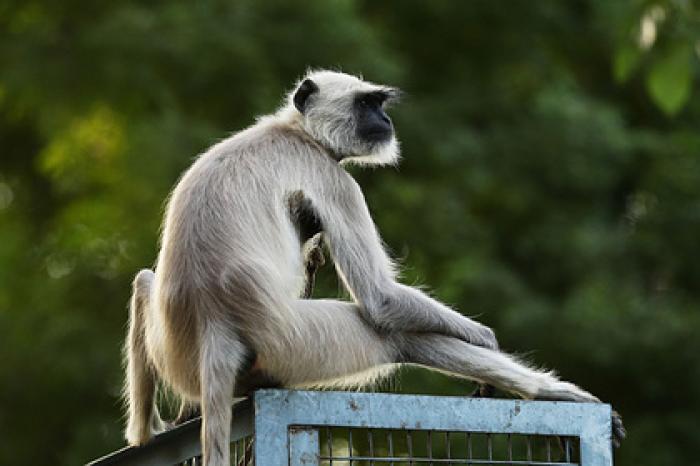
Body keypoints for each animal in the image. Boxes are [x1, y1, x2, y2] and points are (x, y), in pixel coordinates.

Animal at [123, 69, 628, 466]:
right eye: (367, 104)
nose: (386, 121)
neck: (296, 131)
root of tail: (215, 326)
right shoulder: (333, 178)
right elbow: (381, 298)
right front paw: (485, 338)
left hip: (182, 356)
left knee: (144, 281)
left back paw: (146, 433)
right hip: (293, 340)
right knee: (393, 334)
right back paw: (549, 392)